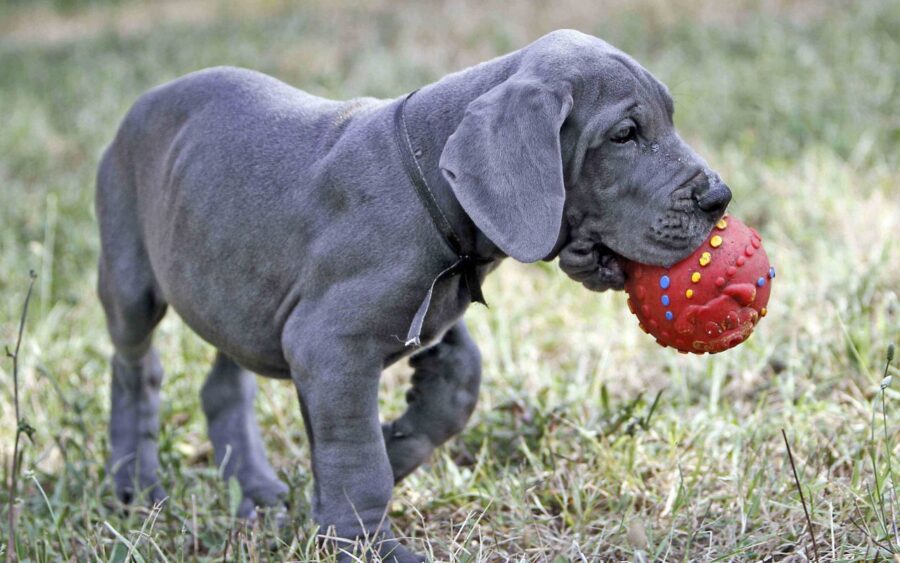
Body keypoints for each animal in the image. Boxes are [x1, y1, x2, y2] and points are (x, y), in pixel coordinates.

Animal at [96, 29, 732, 560]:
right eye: (625, 135)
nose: (719, 197)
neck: (428, 178)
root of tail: (144, 100)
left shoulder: (434, 310)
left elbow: (461, 381)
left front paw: (397, 440)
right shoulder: (329, 346)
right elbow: (358, 460)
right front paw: (364, 541)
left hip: (229, 283)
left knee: (223, 382)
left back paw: (253, 488)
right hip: (131, 281)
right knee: (136, 368)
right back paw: (134, 483)